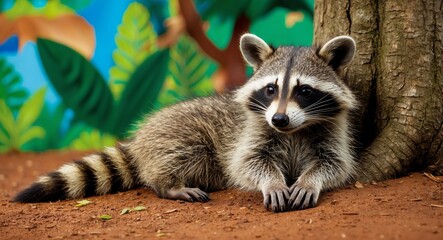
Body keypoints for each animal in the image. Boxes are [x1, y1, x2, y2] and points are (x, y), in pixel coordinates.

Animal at [13, 33, 360, 212]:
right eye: (271, 89)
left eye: (304, 91)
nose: (279, 118)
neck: (294, 129)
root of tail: (142, 138)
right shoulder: (254, 130)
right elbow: (247, 163)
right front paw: (272, 182)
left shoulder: (332, 131)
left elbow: (334, 163)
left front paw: (309, 180)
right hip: (179, 133)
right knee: (183, 154)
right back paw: (169, 185)